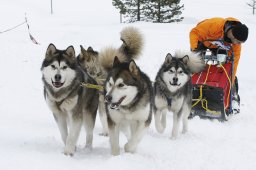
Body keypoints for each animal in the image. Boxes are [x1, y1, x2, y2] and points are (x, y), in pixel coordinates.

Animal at [99, 26, 153, 155]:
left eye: (121, 85)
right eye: (110, 83)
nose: (107, 98)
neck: (128, 107)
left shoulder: (144, 120)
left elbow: (136, 138)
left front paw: (129, 148)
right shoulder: (114, 121)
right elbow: (114, 143)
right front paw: (116, 156)